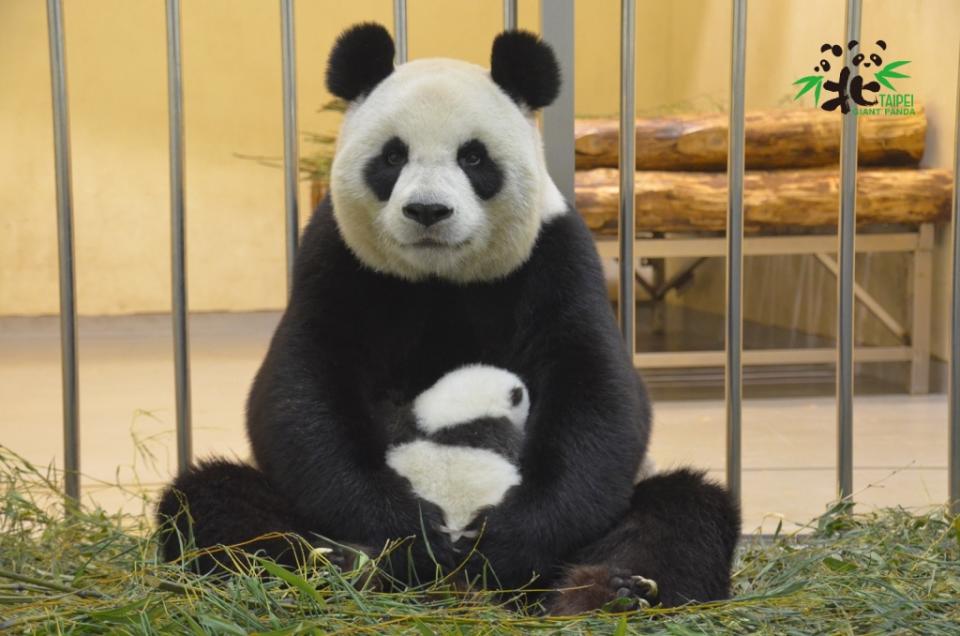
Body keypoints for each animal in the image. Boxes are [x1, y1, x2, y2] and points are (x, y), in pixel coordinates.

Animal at [159, 23, 744, 612]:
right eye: (393, 156)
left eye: (474, 158)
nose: (428, 211)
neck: (439, 276)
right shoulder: (335, 262)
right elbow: (300, 394)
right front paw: (411, 532)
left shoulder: (556, 259)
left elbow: (598, 397)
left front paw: (503, 539)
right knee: (215, 501)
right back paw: (330, 568)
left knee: (683, 511)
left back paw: (609, 589)